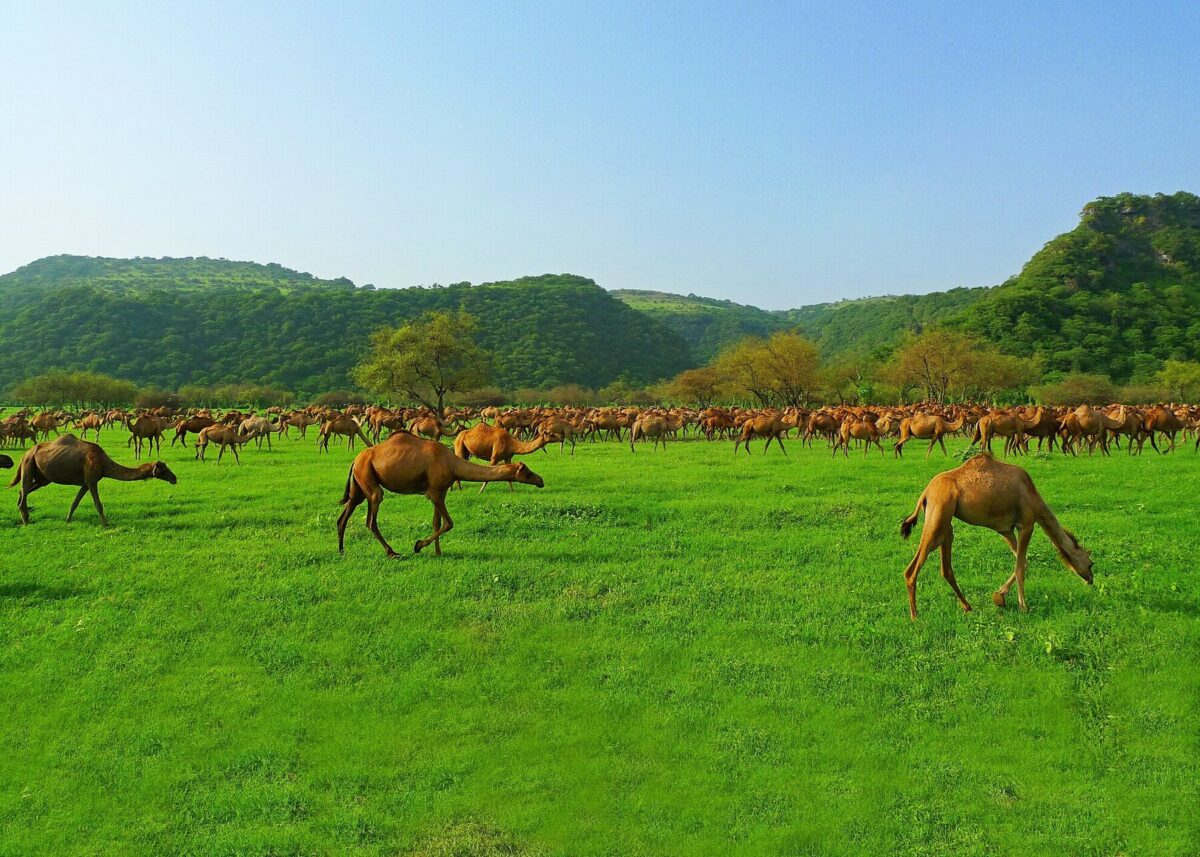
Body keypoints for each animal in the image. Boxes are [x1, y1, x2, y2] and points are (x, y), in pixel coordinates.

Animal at [7, 429, 177, 523]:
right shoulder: (92, 480)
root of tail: (25, 454)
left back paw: (26, 516)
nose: (174, 478)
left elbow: (75, 502)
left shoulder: (85, 483)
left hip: (43, 478)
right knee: (24, 488)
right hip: (29, 465)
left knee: (23, 491)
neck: (103, 463)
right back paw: (25, 521)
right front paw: (106, 524)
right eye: (163, 469)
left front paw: (68, 520)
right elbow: (98, 504)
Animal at [336, 429, 547, 556]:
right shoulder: (435, 492)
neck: (452, 464)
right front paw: (418, 545)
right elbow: (449, 523)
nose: (541, 481)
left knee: (345, 514)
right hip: (368, 478)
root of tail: (355, 460)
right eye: (527, 472)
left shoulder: (440, 491)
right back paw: (392, 553)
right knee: (372, 516)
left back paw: (341, 551)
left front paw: (438, 552)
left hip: (360, 482)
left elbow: (436, 522)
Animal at [897, 458, 1094, 619]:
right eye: (1091, 563)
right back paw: (915, 616)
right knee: (912, 570)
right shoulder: (1026, 524)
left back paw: (967, 606)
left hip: (945, 523)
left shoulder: (1005, 530)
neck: (1035, 498)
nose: (1090, 580)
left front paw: (999, 597)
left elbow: (1022, 562)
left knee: (946, 569)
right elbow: (1020, 567)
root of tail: (926, 493)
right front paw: (1023, 607)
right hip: (938, 516)